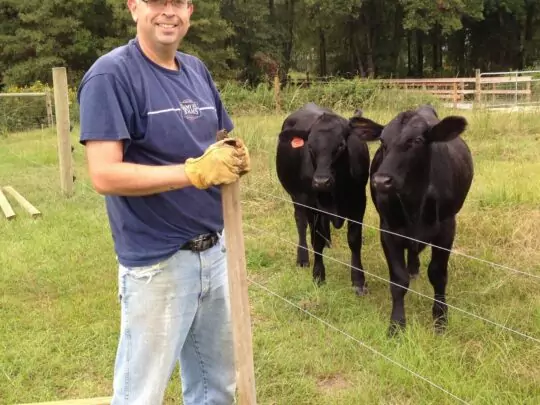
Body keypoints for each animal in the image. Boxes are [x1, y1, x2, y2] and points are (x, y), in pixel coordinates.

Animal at [275, 102, 371, 296]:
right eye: (310, 146)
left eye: (341, 145)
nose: (321, 181)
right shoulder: (311, 203)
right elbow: (316, 241)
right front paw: (318, 275)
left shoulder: (359, 202)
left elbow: (354, 240)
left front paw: (358, 280)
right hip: (297, 197)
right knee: (301, 223)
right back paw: (302, 257)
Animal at [349, 104, 474, 335]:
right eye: (382, 141)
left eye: (416, 141)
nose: (381, 181)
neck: (414, 200)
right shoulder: (388, 230)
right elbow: (398, 280)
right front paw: (396, 325)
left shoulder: (447, 229)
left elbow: (438, 275)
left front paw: (440, 320)